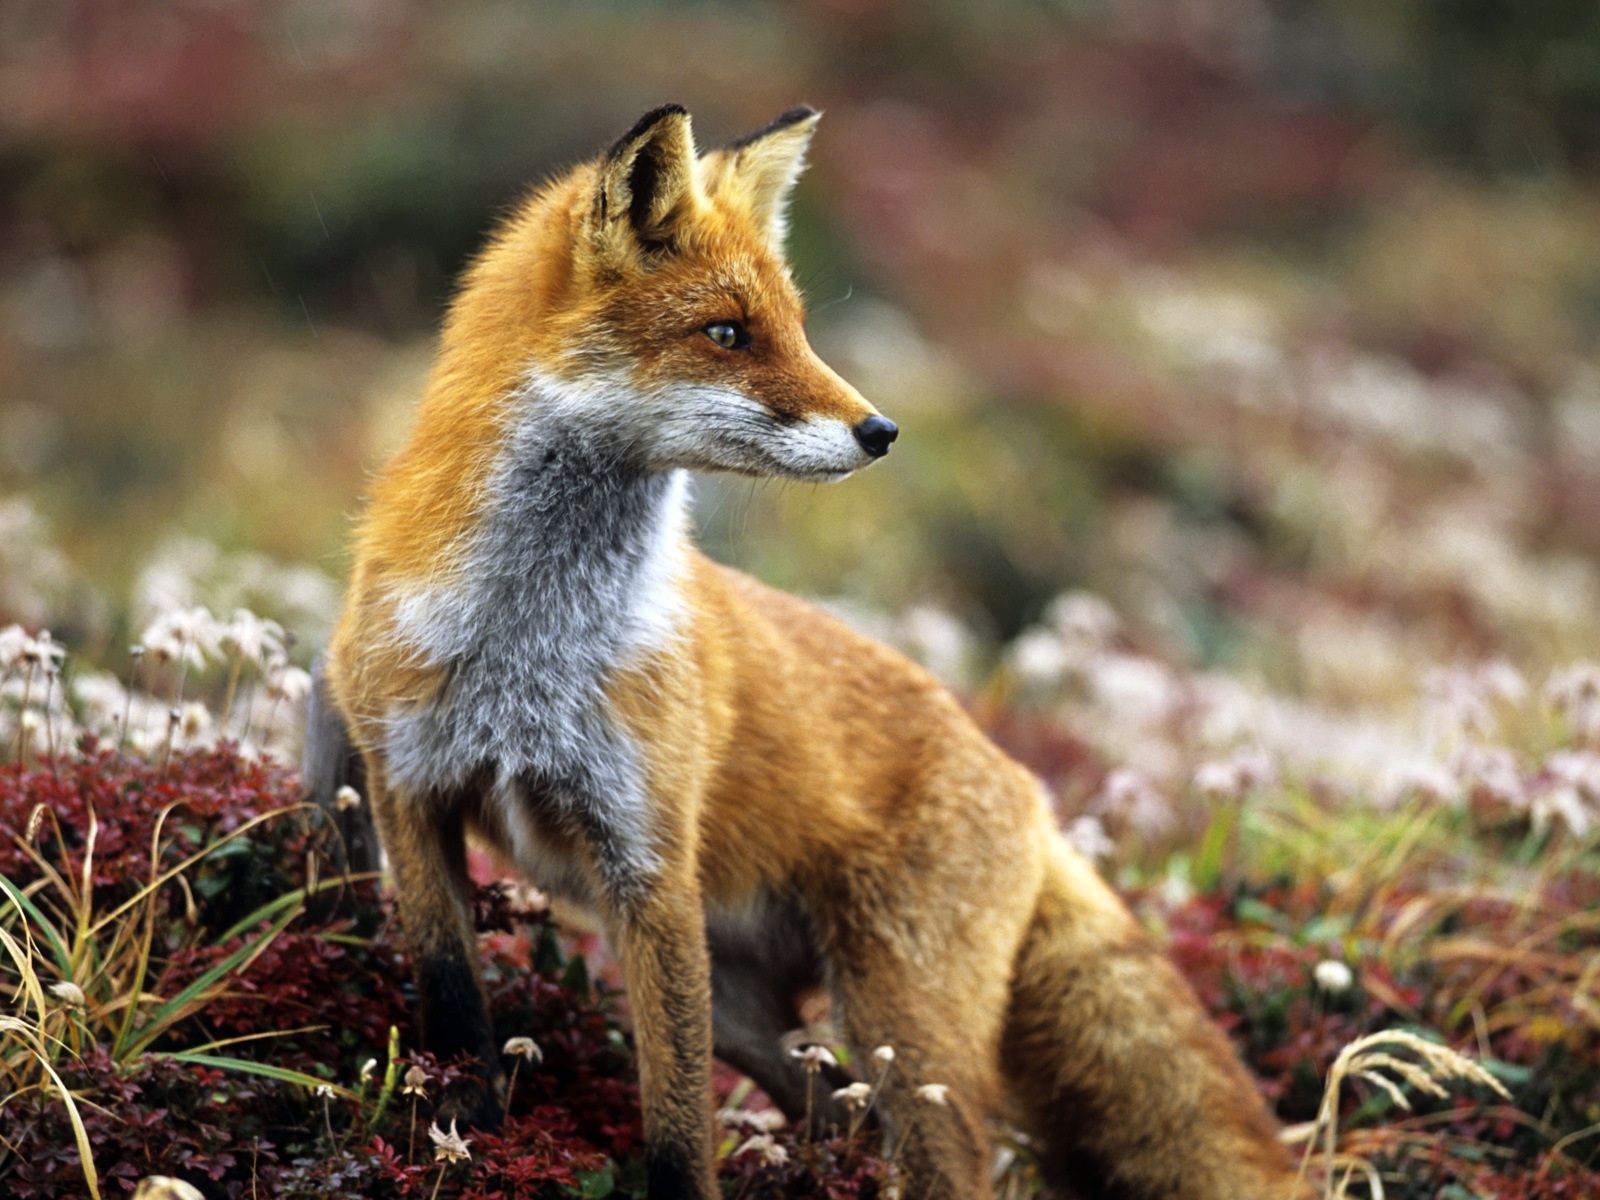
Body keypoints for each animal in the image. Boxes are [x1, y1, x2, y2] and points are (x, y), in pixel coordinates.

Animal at [308, 105, 1299, 1200]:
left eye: (796, 326)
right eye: (726, 332)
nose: (881, 430)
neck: (526, 644)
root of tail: (1029, 787)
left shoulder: (648, 862)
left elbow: (677, 1125)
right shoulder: (410, 789)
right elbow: (453, 1007)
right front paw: (467, 1139)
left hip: (898, 1030)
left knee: (942, 1158)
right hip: (764, 1015)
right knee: (838, 1118)